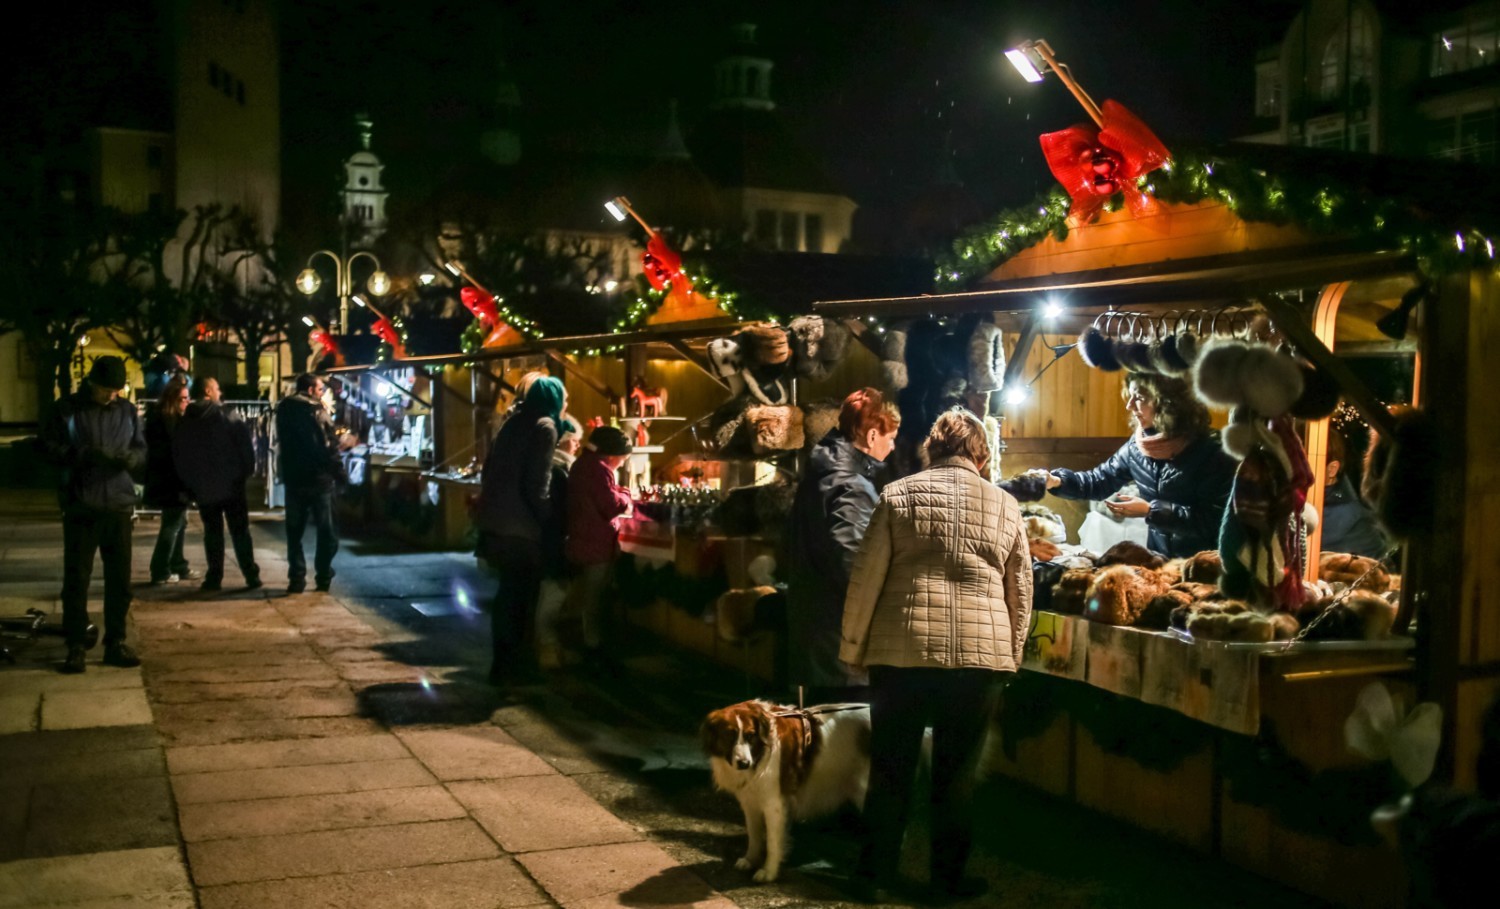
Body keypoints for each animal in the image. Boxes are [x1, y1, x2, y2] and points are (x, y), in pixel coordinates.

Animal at [699, 702, 876, 888]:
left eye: (750, 735)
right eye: (728, 735)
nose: (744, 763)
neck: (762, 753)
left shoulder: (774, 805)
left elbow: (772, 842)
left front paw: (769, 872)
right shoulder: (750, 802)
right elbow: (754, 835)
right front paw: (750, 860)